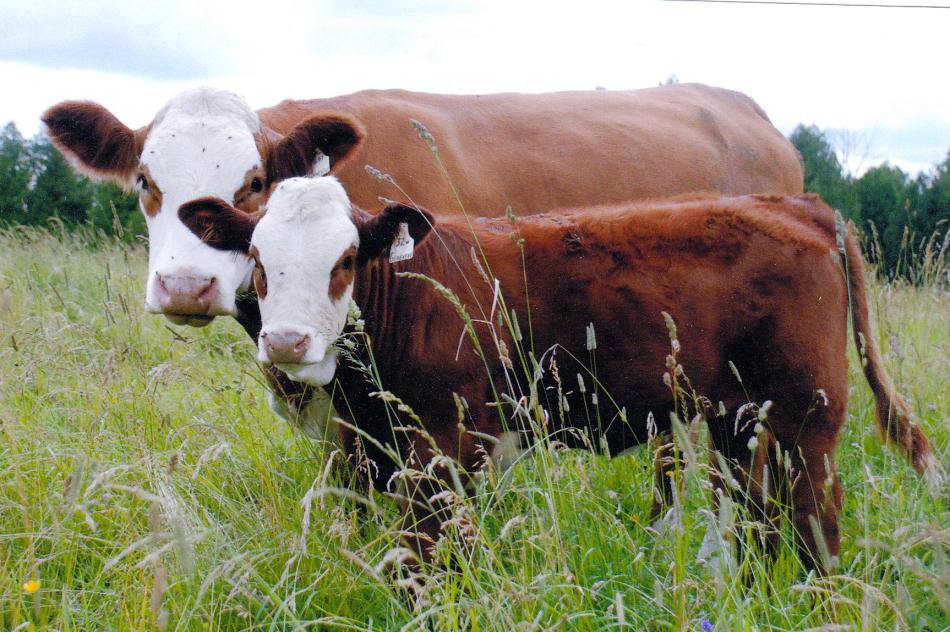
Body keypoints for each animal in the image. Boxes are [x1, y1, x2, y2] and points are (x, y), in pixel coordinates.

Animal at [179, 175, 940, 573]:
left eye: (343, 261)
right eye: (256, 257)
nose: (286, 340)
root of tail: (797, 205)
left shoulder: (446, 443)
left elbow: (430, 551)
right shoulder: (371, 448)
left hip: (806, 420)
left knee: (815, 526)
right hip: (740, 423)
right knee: (763, 522)